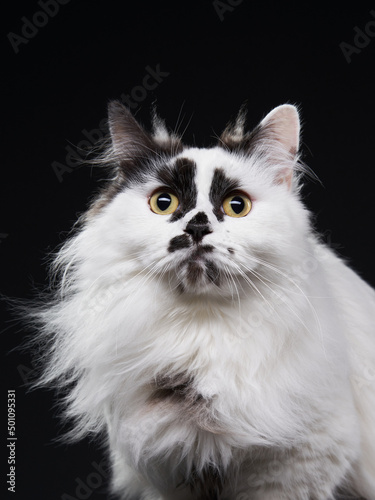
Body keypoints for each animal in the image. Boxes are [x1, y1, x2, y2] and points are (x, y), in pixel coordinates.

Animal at [32, 99, 375, 498]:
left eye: (237, 205)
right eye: (163, 203)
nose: (197, 227)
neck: (200, 332)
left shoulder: (298, 466)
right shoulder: (167, 468)